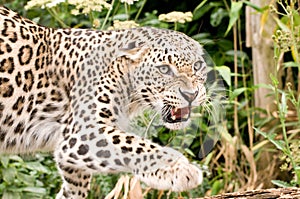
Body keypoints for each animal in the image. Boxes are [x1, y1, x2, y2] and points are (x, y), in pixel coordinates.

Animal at [0, 5, 206, 198]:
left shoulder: (70, 154)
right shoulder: (83, 131)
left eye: (197, 66)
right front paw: (178, 169)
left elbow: (75, 186)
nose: (191, 94)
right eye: (164, 69)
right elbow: (136, 144)